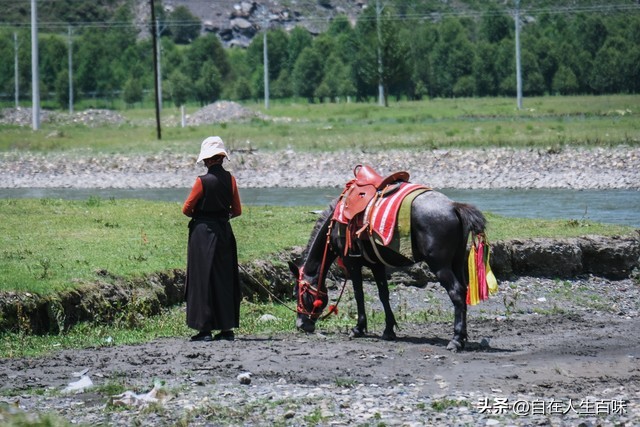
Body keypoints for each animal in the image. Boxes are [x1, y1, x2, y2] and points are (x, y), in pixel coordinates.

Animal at [288, 176, 484, 352]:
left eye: (298, 293)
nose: (301, 325)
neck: (336, 223)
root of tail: (453, 206)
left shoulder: (353, 263)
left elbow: (359, 294)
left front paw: (358, 328)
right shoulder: (376, 264)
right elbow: (383, 294)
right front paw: (389, 330)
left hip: (440, 266)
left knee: (456, 293)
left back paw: (456, 340)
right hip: (457, 262)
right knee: (463, 290)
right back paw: (463, 337)